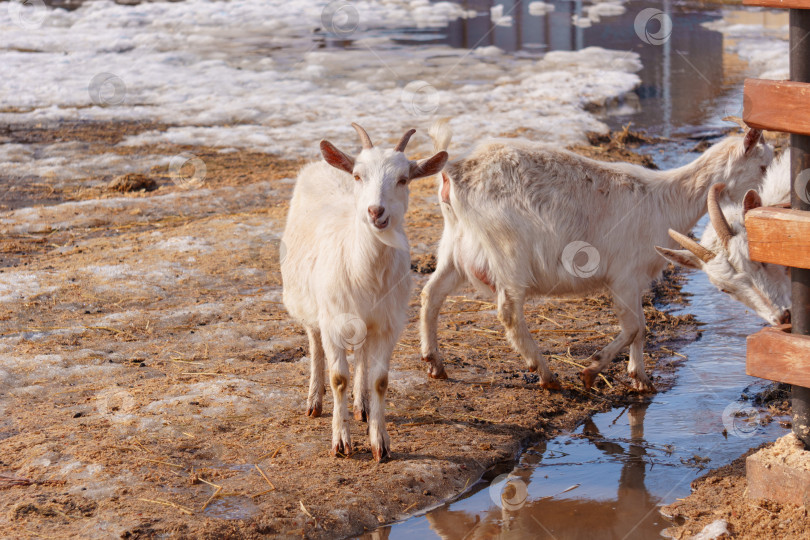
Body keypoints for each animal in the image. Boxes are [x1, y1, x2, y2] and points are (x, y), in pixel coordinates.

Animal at [280, 123, 446, 460]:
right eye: (358, 176)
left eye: (403, 179)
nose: (375, 211)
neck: (365, 270)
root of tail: (321, 165)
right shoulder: (333, 320)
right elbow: (338, 378)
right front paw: (341, 442)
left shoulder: (388, 324)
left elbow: (380, 380)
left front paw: (379, 442)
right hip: (307, 302)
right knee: (314, 344)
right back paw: (314, 401)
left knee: (362, 354)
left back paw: (362, 405)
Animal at [420, 122, 768, 390]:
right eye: (763, 165)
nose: (760, 204)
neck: (664, 200)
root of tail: (453, 171)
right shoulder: (623, 276)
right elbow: (634, 327)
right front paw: (592, 370)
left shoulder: (636, 279)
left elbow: (641, 327)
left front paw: (640, 379)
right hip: (507, 252)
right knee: (508, 312)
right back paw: (546, 375)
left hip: (454, 246)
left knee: (431, 293)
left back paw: (434, 363)